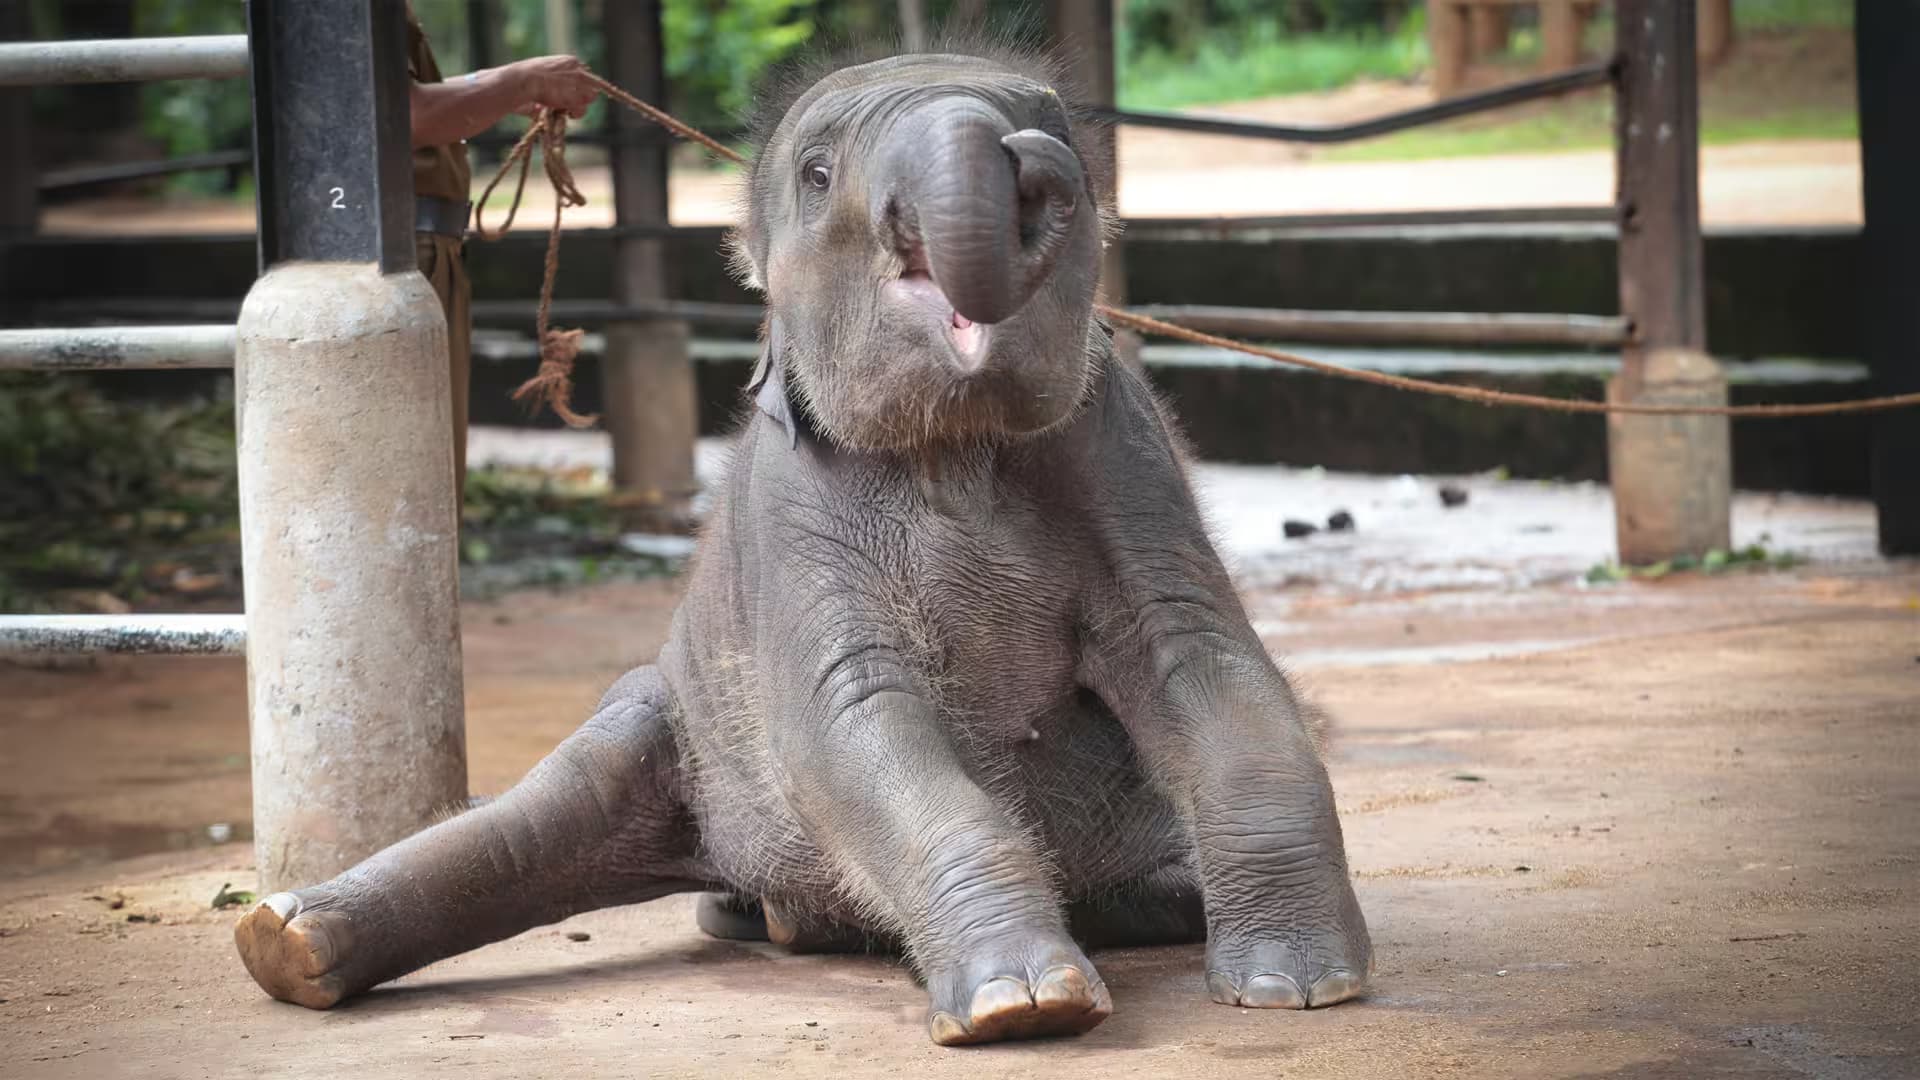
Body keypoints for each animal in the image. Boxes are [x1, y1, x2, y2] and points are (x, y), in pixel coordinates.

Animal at [234, 40, 1373, 1047]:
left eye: (1052, 124)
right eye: (819, 174)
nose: (1031, 155)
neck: (954, 446)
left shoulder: (1125, 450)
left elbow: (1202, 659)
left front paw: (1299, 989)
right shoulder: (790, 511)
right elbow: (852, 714)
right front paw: (1023, 1007)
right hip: (666, 716)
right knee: (545, 815)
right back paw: (287, 943)